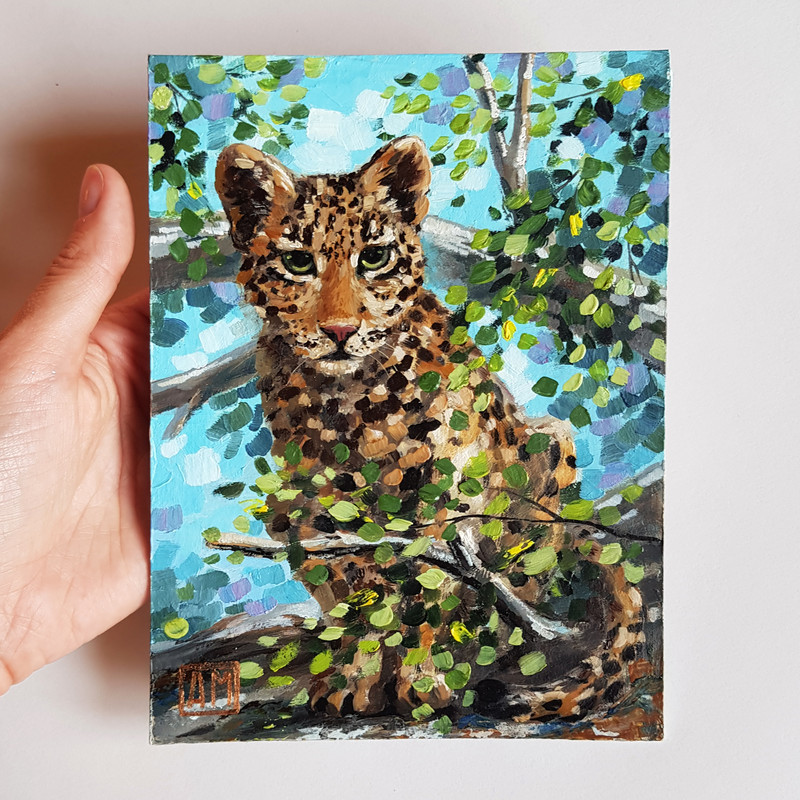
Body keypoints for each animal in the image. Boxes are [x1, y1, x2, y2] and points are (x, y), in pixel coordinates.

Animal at [214, 135, 646, 728]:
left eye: (374, 257)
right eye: (298, 261)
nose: (340, 331)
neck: (346, 402)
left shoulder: (445, 491)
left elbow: (431, 587)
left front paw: (420, 680)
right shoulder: (315, 505)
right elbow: (359, 591)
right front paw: (357, 677)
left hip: (552, 443)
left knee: (518, 584)